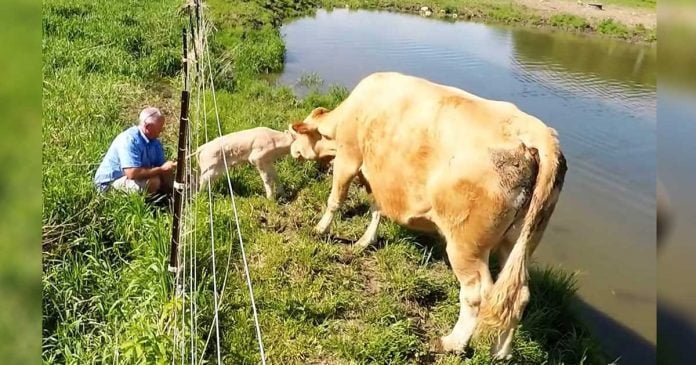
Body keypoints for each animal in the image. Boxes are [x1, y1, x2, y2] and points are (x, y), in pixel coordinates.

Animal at [286, 72, 564, 358]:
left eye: (294, 135)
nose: (291, 151)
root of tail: (537, 134)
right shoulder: (381, 176)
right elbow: (376, 209)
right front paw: (365, 241)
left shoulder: (349, 158)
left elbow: (336, 200)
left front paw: (320, 229)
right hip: (520, 240)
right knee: (516, 296)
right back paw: (501, 353)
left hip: (466, 245)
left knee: (478, 294)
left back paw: (453, 343)